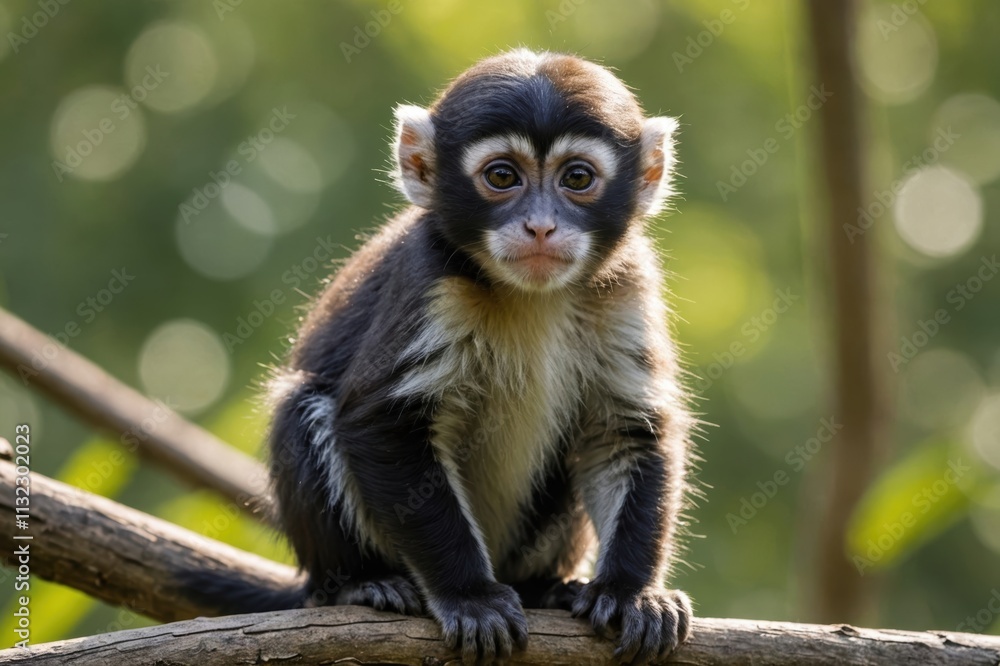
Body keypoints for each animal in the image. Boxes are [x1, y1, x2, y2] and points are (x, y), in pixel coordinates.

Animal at [183, 49, 696, 665]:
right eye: (502, 176)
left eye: (577, 178)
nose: (541, 225)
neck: (532, 299)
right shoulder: (431, 283)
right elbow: (380, 423)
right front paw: (469, 596)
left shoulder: (626, 284)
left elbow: (628, 429)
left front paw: (630, 592)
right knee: (303, 407)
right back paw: (359, 583)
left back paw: (545, 587)